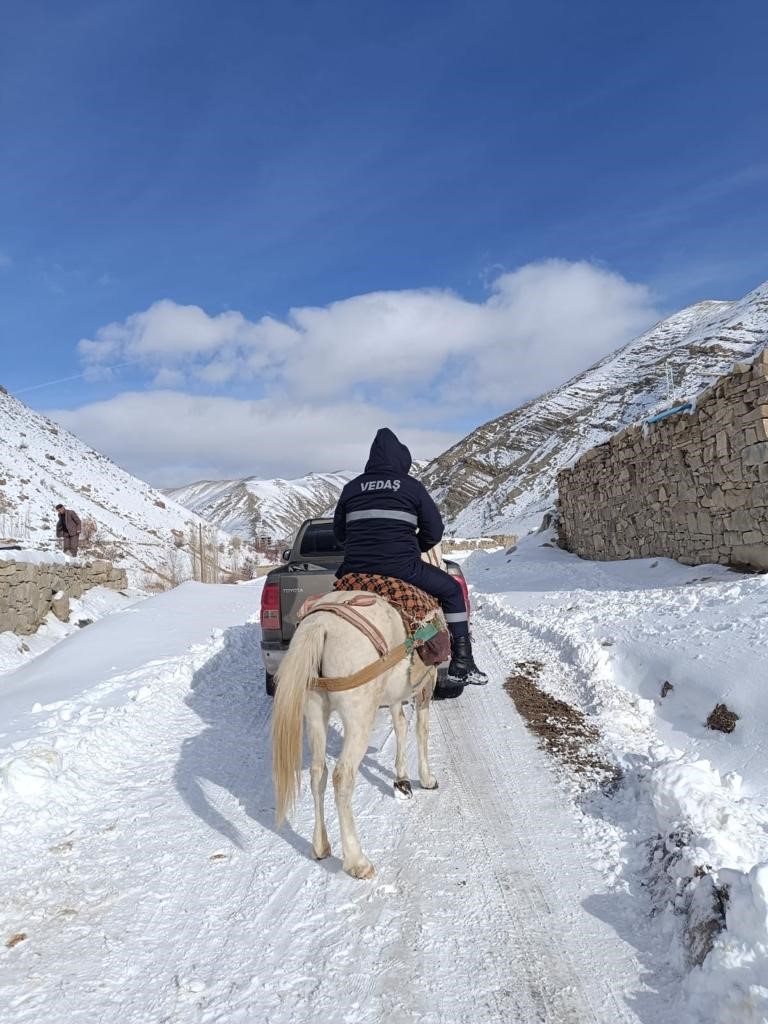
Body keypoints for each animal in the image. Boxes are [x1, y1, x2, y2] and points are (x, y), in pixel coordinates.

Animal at [272, 593, 438, 880]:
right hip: (359, 718)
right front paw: (426, 779)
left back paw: (320, 846)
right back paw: (357, 861)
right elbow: (421, 729)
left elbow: (401, 725)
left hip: (315, 712)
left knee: (318, 773)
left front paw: (402, 778)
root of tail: (321, 624)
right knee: (342, 776)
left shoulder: (395, 694)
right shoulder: (427, 684)